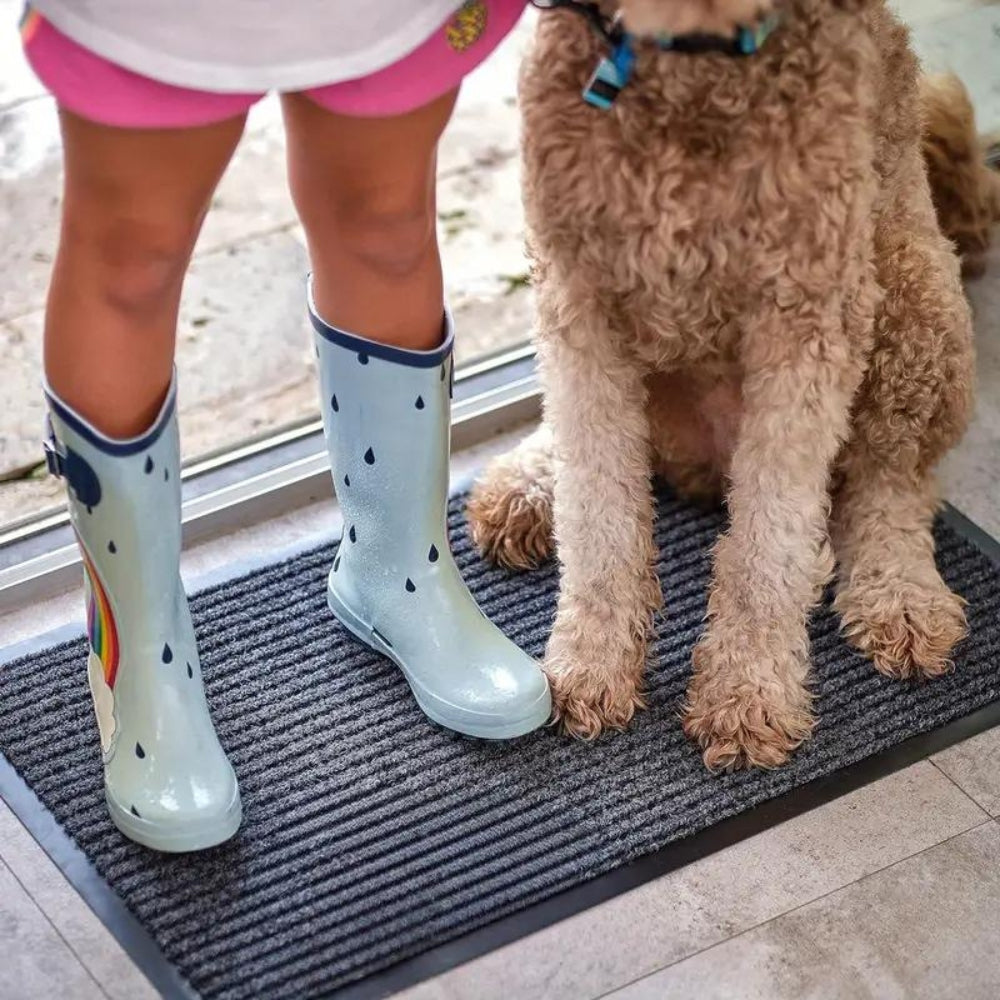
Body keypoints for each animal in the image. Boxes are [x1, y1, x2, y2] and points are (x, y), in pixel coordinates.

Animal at [468, 0, 976, 772]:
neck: (690, 66)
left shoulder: (808, 313)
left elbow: (771, 536)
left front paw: (748, 689)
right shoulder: (576, 295)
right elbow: (596, 509)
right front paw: (591, 660)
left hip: (912, 290)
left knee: (891, 481)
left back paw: (898, 592)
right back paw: (527, 484)